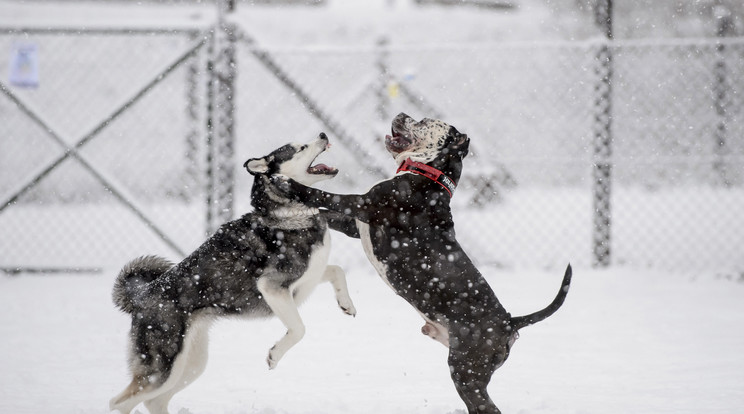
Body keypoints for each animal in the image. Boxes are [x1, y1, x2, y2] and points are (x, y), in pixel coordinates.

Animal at [278, 113, 568, 414]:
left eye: (425, 121)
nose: (401, 114)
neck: (429, 175)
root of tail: (510, 322)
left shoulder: (364, 205)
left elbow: (322, 195)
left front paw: (287, 183)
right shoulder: (355, 224)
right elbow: (325, 213)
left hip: (466, 369)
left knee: (487, 407)